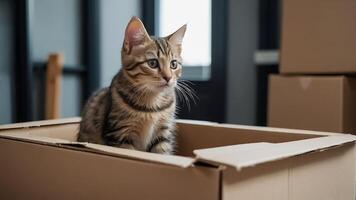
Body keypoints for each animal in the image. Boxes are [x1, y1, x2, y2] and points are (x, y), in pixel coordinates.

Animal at [78, 17, 186, 155]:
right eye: (152, 63)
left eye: (173, 64)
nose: (168, 78)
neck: (152, 101)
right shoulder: (120, 134)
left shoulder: (163, 134)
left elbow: (162, 153)